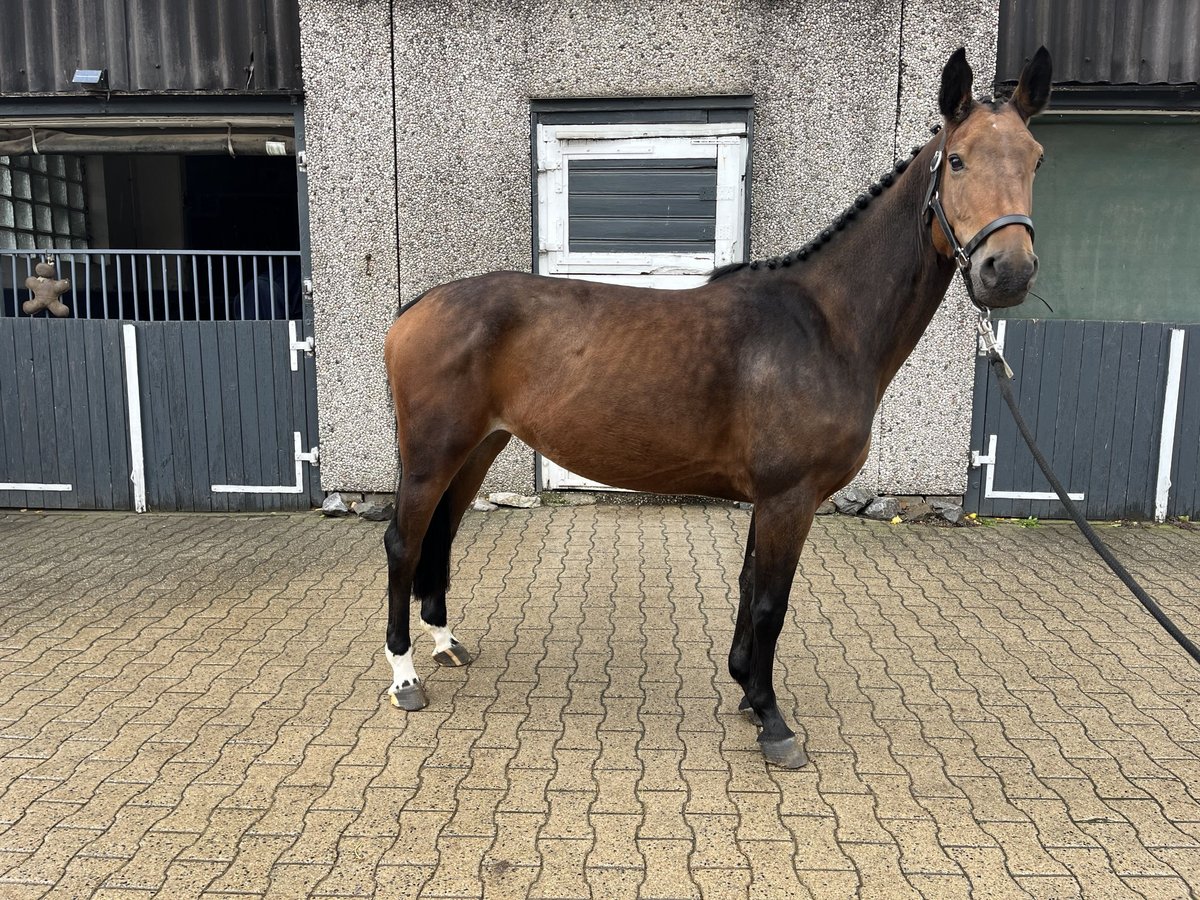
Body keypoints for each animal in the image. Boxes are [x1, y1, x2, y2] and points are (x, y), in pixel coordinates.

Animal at [381, 46, 1052, 768]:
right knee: (404, 542)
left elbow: (748, 588)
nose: (1007, 271)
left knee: (441, 535)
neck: (825, 325)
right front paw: (774, 721)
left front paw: (746, 691)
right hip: (432, 455)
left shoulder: (771, 497)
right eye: (957, 160)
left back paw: (445, 643)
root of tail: (418, 307)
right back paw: (405, 677)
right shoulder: (790, 496)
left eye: (1036, 158)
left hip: (479, 446)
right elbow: (770, 604)